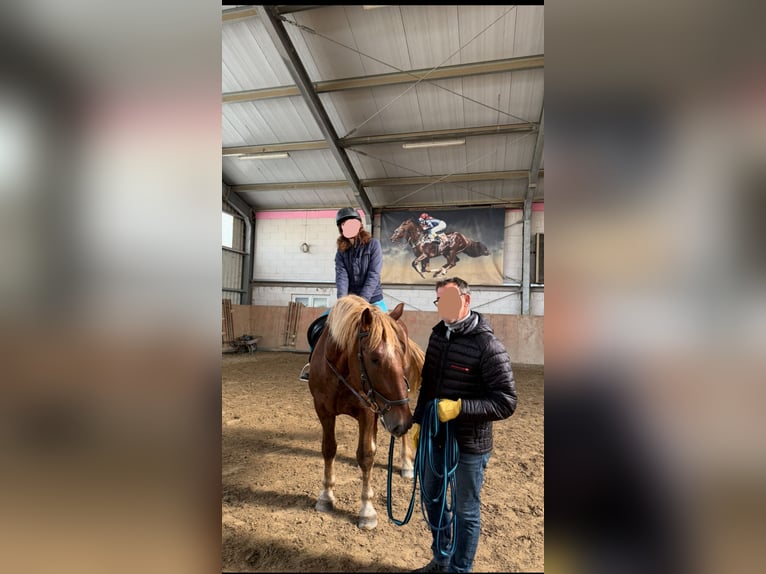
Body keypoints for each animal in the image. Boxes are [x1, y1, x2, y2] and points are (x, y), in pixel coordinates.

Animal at [308, 295, 425, 530]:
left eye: (401, 352)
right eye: (374, 359)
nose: (400, 421)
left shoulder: (367, 412)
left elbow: (366, 455)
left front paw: (367, 511)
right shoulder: (324, 411)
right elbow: (329, 449)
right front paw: (326, 496)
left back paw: (407, 465)